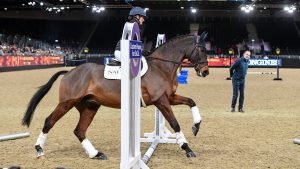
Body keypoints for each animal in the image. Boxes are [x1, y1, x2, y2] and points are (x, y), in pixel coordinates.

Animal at [21, 32, 209, 160]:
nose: (205, 72)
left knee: (79, 130)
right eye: (201, 49)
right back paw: (39, 149)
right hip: (67, 103)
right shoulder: (161, 100)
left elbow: (191, 101)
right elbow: (175, 123)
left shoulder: (169, 97)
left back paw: (96, 154)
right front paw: (187, 148)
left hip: (90, 106)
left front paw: (196, 126)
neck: (161, 67)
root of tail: (69, 72)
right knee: (49, 121)